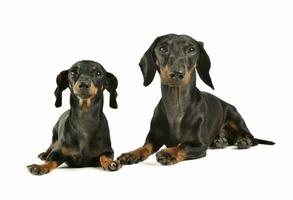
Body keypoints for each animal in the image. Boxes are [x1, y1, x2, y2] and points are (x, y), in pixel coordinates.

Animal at [117, 34, 274, 166]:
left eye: (191, 49)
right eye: (163, 48)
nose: (176, 74)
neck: (176, 107)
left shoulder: (199, 145)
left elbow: (183, 146)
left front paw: (169, 153)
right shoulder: (154, 138)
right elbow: (145, 147)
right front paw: (131, 154)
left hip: (236, 118)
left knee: (251, 137)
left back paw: (244, 141)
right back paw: (220, 142)